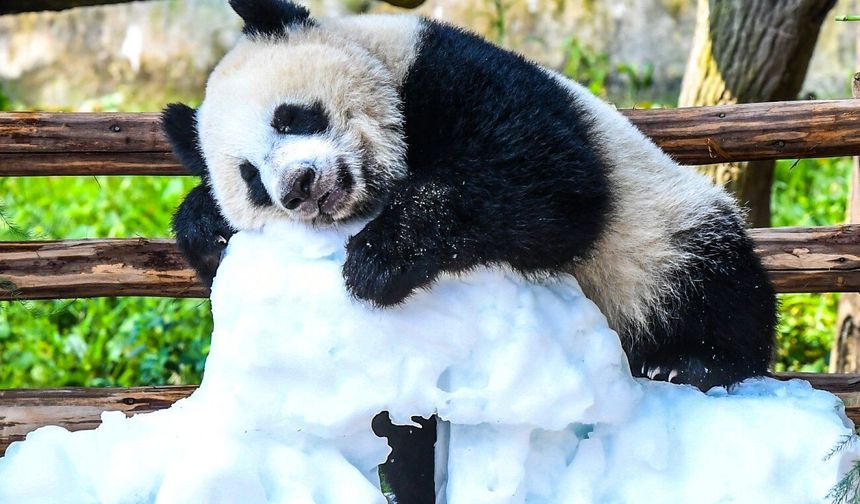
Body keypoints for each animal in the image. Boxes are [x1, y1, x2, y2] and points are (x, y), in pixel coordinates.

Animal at [162, 1, 777, 502]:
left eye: (291, 116)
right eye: (251, 178)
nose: (299, 186)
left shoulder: (448, 72)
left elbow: (546, 181)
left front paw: (375, 260)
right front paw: (204, 222)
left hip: (660, 229)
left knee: (715, 280)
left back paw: (690, 362)